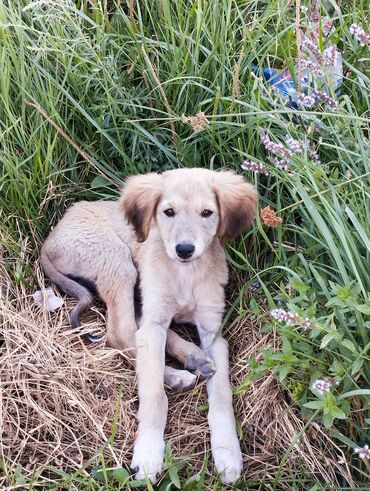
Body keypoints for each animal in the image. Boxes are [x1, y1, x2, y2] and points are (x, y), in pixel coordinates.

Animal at [40, 169, 258, 484]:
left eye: (207, 213)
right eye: (168, 212)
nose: (184, 249)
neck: (184, 274)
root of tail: (49, 240)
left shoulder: (212, 330)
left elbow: (221, 396)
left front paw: (228, 453)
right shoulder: (155, 321)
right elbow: (154, 394)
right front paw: (148, 455)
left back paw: (193, 358)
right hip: (117, 260)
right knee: (121, 333)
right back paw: (178, 373)